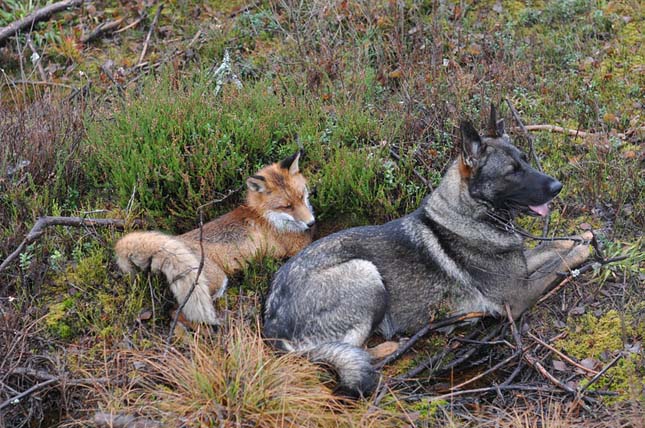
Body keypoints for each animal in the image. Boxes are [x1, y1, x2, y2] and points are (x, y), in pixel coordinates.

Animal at [117, 152, 316, 326]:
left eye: (301, 196)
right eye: (286, 206)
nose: (311, 223)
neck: (264, 216)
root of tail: (174, 241)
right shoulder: (297, 247)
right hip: (216, 282)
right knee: (179, 312)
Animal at [260, 108, 588, 398]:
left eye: (524, 160)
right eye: (512, 172)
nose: (558, 186)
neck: (471, 213)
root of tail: (272, 326)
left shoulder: (521, 269)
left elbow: (550, 247)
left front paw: (583, 236)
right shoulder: (517, 297)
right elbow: (559, 261)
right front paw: (584, 249)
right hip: (365, 272)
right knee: (354, 351)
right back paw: (395, 345)